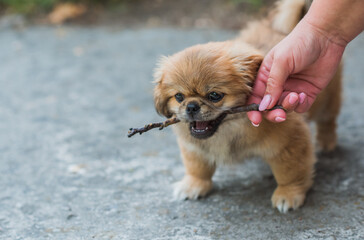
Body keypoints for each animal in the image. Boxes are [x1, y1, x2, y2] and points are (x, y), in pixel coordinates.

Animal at [153, 0, 342, 214]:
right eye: (178, 96)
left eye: (214, 96)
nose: (191, 106)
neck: (229, 130)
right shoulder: (193, 148)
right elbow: (197, 168)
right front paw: (194, 184)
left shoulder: (290, 142)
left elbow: (290, 173)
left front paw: (288, 194)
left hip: (327, 102)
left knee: (328, 121)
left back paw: (326, 142)